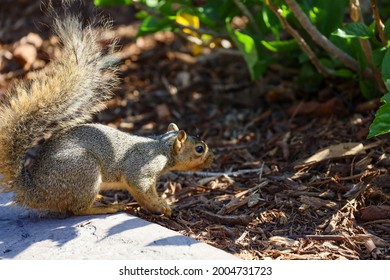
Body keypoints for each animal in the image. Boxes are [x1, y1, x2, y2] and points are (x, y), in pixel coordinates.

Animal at [0, 14, 213, 218]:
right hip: (84, 169)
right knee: (77, 209)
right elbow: (141, 186)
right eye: (199, 149)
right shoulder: (142, 168)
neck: (162, 147)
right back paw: (104, 208)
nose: (212, 160)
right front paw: (163, 206)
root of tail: (34, 192)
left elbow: (140, 195)